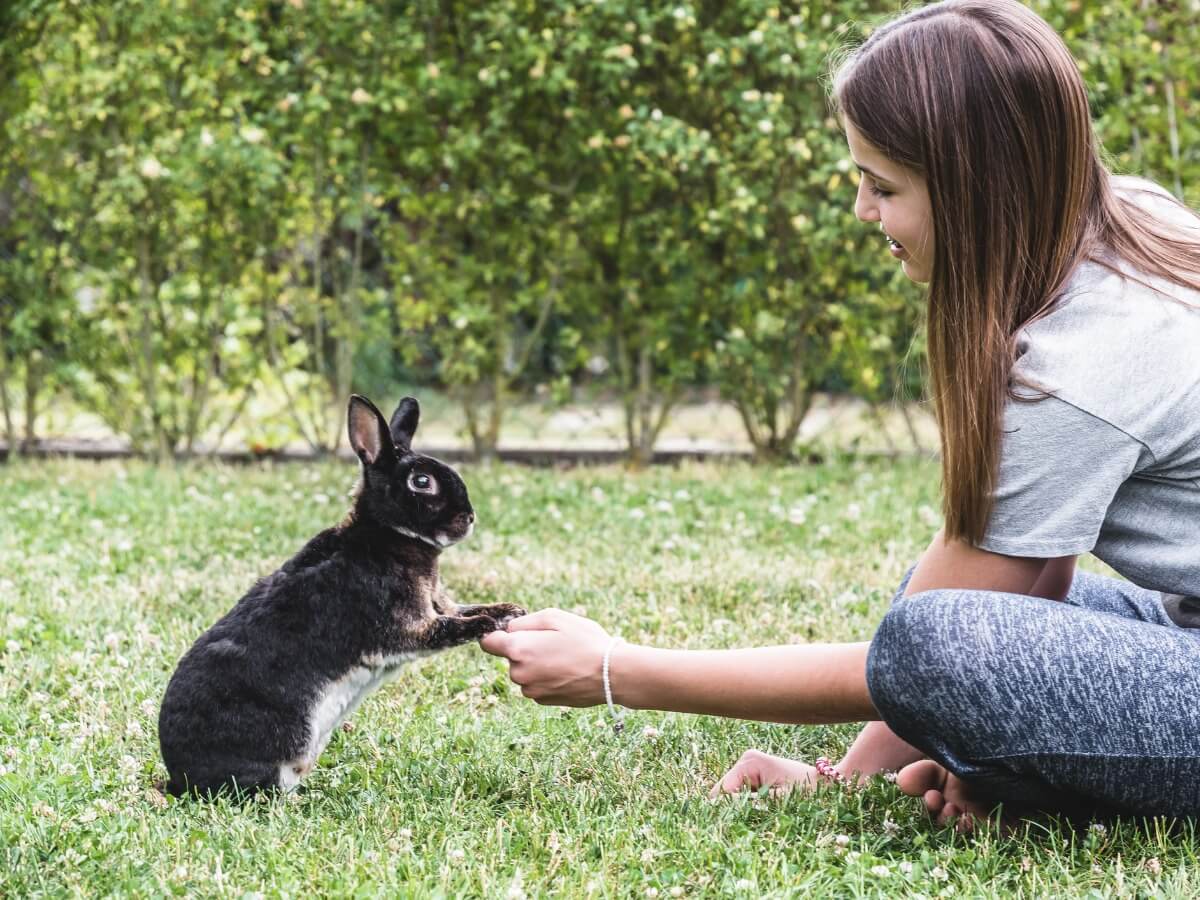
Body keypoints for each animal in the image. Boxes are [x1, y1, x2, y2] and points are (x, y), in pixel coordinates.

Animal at [157, 394, 524, 798]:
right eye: (421, 482)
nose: (469, 518)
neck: (388, 534)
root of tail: (182, 777)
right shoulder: (407, 627)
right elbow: (450, 629)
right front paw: (487, 623)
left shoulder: (441, 605)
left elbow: (462, 610)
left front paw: (511, 610)